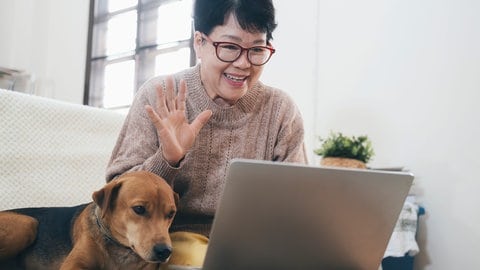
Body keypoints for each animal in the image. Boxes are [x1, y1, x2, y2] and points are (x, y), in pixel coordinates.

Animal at [0, 172, 178, 268]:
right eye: (139, 209)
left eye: (171, 214)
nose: (165, 251)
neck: (120, 247)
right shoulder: (73, 265)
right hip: (28, 224)